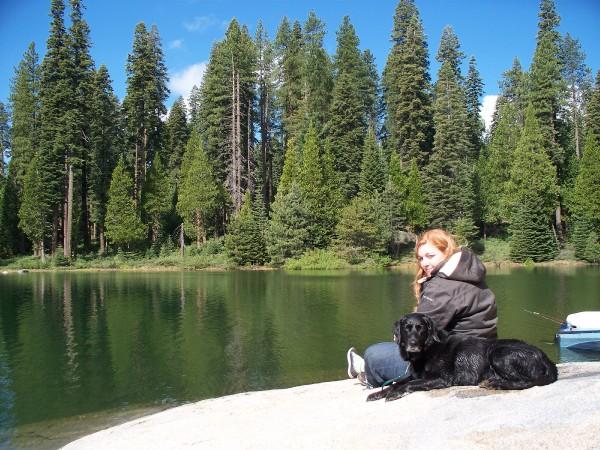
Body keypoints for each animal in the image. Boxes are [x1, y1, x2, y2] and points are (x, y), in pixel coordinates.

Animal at [366, 312, 556, 400]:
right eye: (406, 328)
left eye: (421, 329)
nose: (412, 344)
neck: (428, 349)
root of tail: (546, 359)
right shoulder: (414, 375)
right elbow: (397, 382)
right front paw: (378, 394)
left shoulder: (442, 379)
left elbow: (408, 384)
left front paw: (395, 393)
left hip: (498, 353)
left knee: (527, 381)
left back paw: (496, 383)